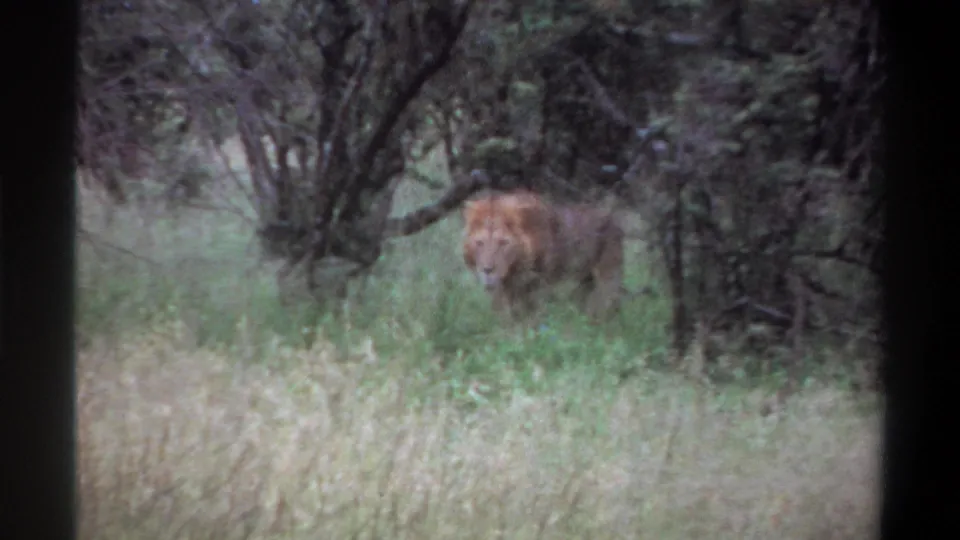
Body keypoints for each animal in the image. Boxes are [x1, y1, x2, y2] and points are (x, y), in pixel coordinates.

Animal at [461, 189, 625, 321]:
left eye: (503, 243)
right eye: (480, 243)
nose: (487, 270)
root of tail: (614, 221)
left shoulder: (539, 288)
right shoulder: (504, 294)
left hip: (608, 279)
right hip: (584, 282)